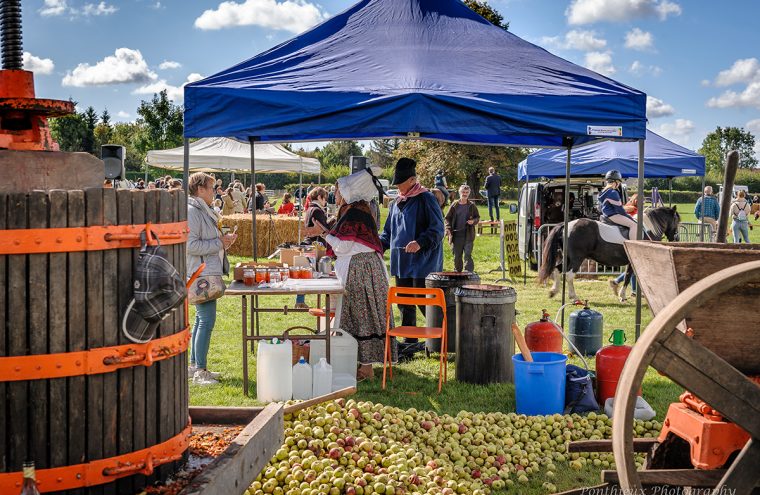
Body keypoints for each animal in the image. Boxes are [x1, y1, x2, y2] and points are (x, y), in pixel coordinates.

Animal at [536, 205, 680, 302]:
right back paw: (574, 297)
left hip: (568, 258)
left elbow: (628, 276)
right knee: (570, 275)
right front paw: (623, 296)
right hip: (577, 258)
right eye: (677, 221)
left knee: (557, 270)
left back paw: (553, 291)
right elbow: (631, 276)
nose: (676, 239)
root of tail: (567, 225)